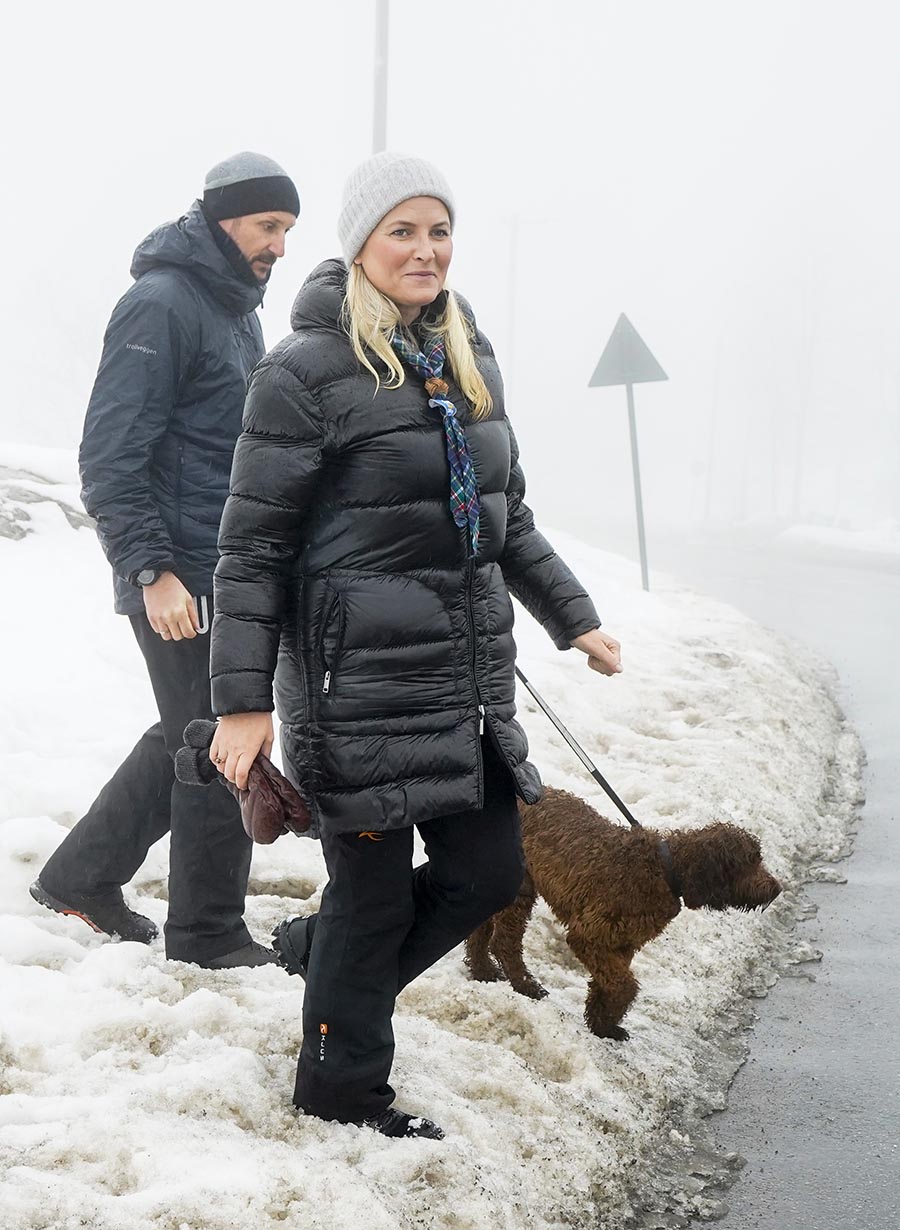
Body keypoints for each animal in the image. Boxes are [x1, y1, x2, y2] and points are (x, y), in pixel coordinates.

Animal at [464, 787, 781, 1038]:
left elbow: (608, 983)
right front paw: (605, 1019)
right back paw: (525, 985)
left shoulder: (622, 943)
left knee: (480, 931)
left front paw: (601, 1023)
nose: (777, 888)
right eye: (749, 862)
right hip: (518, 888)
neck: (665, 870)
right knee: (505, 942)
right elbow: (624, 985)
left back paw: (482, 971)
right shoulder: (589, 935)